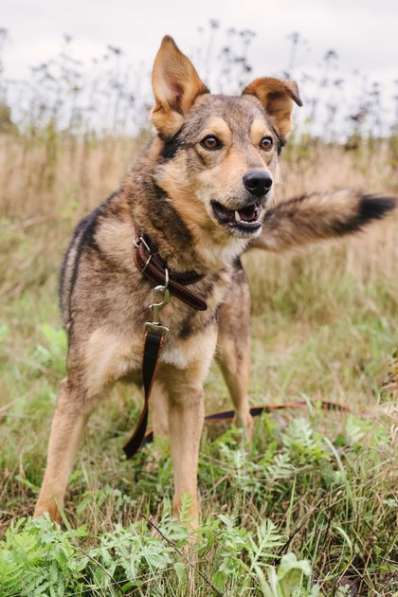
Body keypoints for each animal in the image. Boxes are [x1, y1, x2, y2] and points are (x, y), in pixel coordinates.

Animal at [34, 35, 394, 524]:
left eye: (266, 143)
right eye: (210, 142)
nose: (260, 182)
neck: (165, 270)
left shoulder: (190, 395)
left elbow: (188, 490)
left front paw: (188, 541)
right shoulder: (79, 391)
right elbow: (52, 486)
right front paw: (38, 535)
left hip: (233, 358)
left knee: (244, 415)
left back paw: (244, 457)